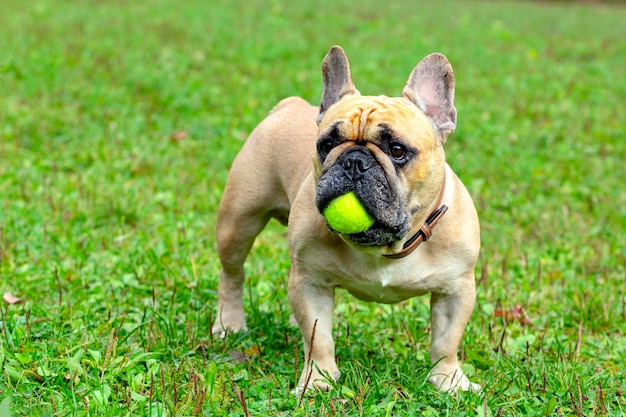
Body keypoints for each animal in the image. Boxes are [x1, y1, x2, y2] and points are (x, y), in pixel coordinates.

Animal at [212, 46, 480, 394]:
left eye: (397, 150)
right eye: (326, 145)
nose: (353, 161)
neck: (388, 247)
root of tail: (289, 104)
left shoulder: (455, 290)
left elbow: (447, 340)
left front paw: (449, 382)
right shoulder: (311, 282)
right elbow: (318, 337)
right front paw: (317, 380)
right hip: (238, 222)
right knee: (232, 275)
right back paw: (229, 323)